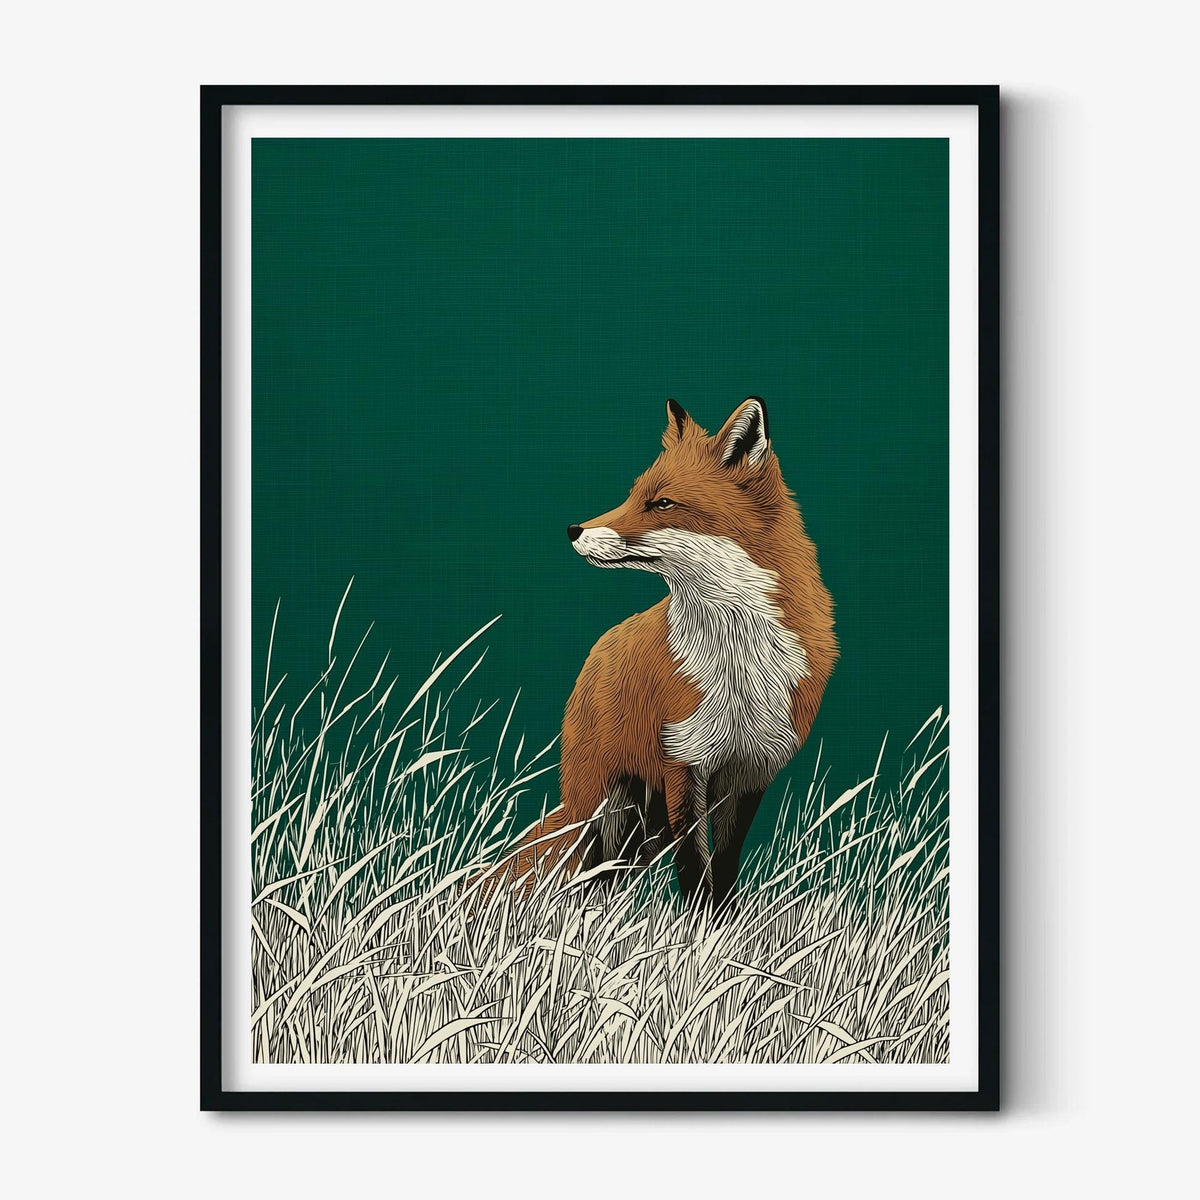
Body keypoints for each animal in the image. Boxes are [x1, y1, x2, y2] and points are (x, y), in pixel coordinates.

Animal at [493, 397, 837, 907]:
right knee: (584, 872)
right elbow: (694, 867)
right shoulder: (683, 762)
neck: (739, 661)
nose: (573, 529)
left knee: (608, 875)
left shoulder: (750, 774)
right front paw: (698, 925)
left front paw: (721, 924)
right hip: (602, 808)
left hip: (641, 828)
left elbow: (724, 868)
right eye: (633, 495)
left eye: (662, 503)